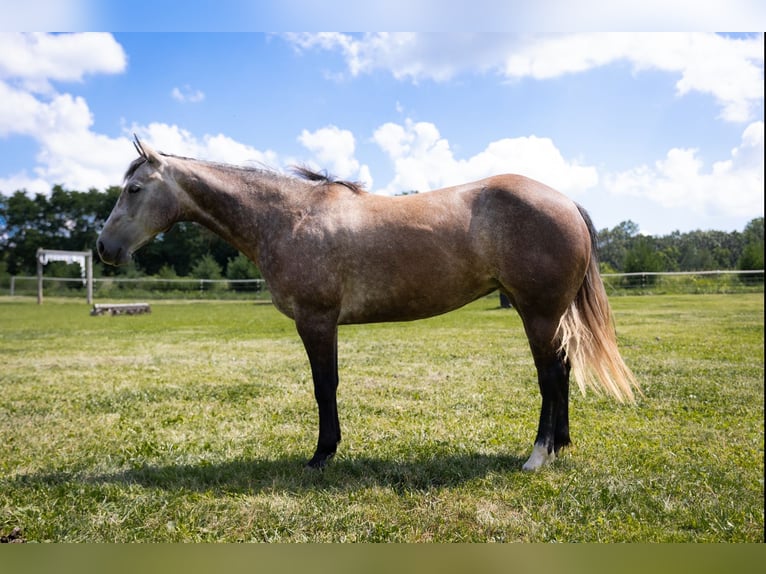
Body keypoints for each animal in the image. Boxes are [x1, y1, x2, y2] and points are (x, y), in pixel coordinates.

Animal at [98, 136, 638, 471]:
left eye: (134, 188)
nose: (104, 248)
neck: (289, 216)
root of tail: (565, 202)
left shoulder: (316, 321)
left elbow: (325, 387)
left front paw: (321, 455)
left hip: (538, 312)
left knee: (549, 377)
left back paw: (538, 455)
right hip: (548, 314)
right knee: (562, 371)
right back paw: (560, 445)